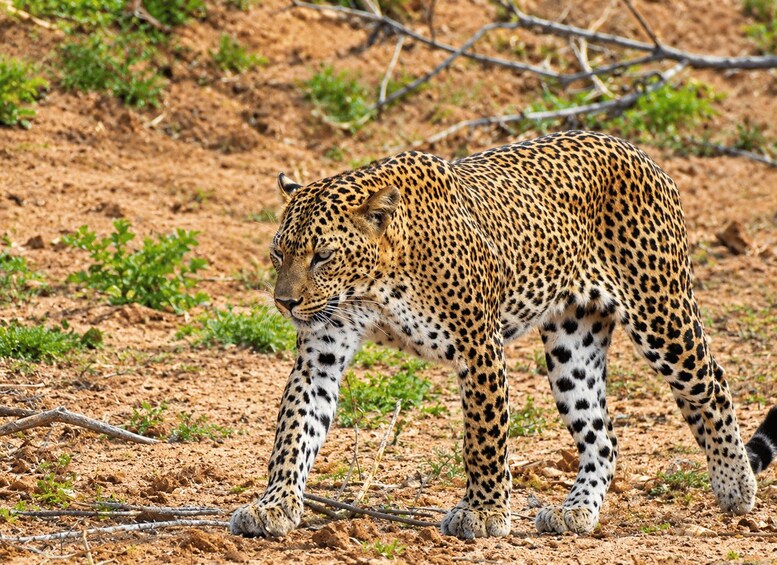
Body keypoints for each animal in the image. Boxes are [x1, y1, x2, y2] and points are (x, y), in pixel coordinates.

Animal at [229, 130, 777, 539]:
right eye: (279, 253)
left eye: (322, 256)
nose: (285, 302)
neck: (374, 287)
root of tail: (639, 152)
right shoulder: (321, 353)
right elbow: (294, 430)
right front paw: (273, 505)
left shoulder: (478, 345)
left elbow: (484, 437)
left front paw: (485, 512)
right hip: (572, 344)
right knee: (602, 435)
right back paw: (577, 511)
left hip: (661, 312)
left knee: (712, 383)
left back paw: (736, 486)